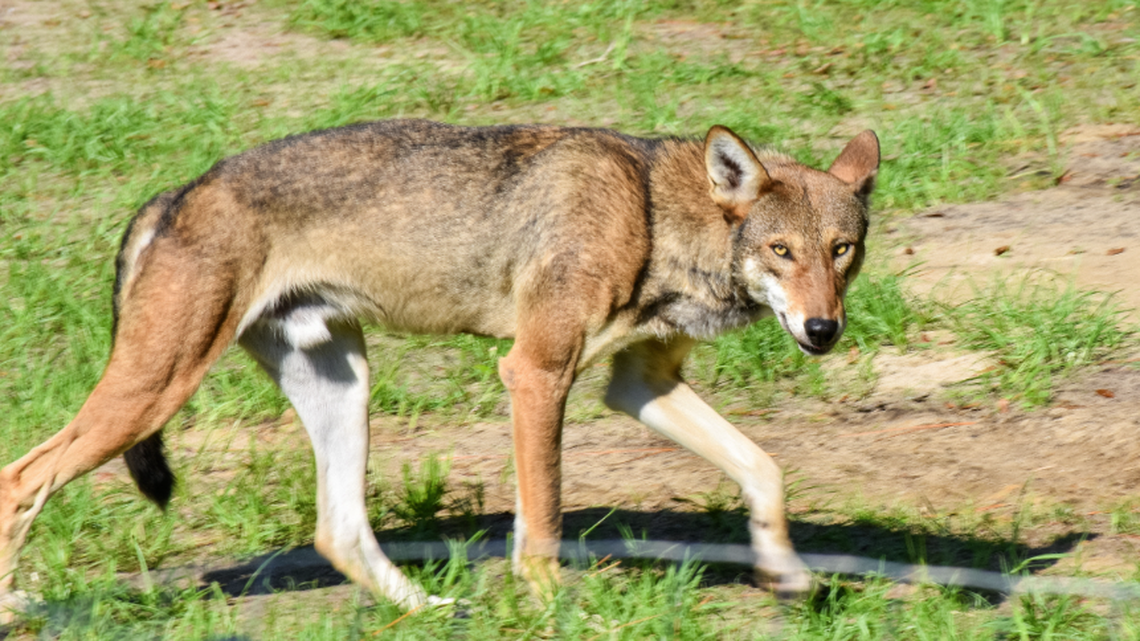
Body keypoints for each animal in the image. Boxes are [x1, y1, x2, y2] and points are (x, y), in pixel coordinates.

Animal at [0, 119, 878, 613]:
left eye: (842, 251)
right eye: (781, 250)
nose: (823, 327)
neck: (655, 214)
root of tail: (182, 190)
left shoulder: (638, 384)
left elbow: (763, 470)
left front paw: (786, 573)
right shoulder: (535, 373)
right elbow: (543, 522)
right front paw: (555, 609)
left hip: (344, 387)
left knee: (339, 532)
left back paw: (429, 607)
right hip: (151, 396)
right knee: (20, 479)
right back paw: (15, 604)